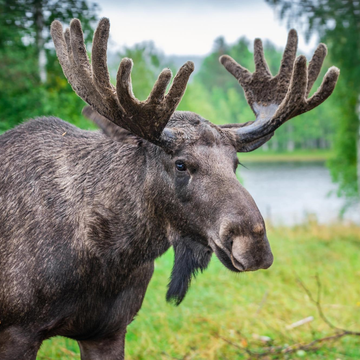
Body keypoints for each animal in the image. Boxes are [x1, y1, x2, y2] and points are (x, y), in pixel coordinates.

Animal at [0, 19, 338, 360]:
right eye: (181, 164)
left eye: (236, 163)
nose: (253, 243)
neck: (108, 260)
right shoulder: (18, 332)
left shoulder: (108, 331)